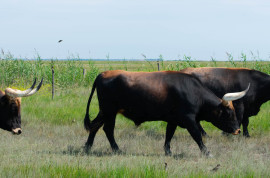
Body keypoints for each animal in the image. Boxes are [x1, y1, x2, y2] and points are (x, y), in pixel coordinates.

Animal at [84, 70, 249, 156]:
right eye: (229, 113)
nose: (237, 130)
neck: (194, 92)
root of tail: (103, 74)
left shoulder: (173, 119)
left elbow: (169, 134)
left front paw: (168, 151)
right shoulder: (189, 119)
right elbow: (197, 135)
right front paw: (206, 152)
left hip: (105, 112)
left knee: (95, 126)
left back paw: (87, 147)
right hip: (109, 111)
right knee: (107, 129)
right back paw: (116, 149)